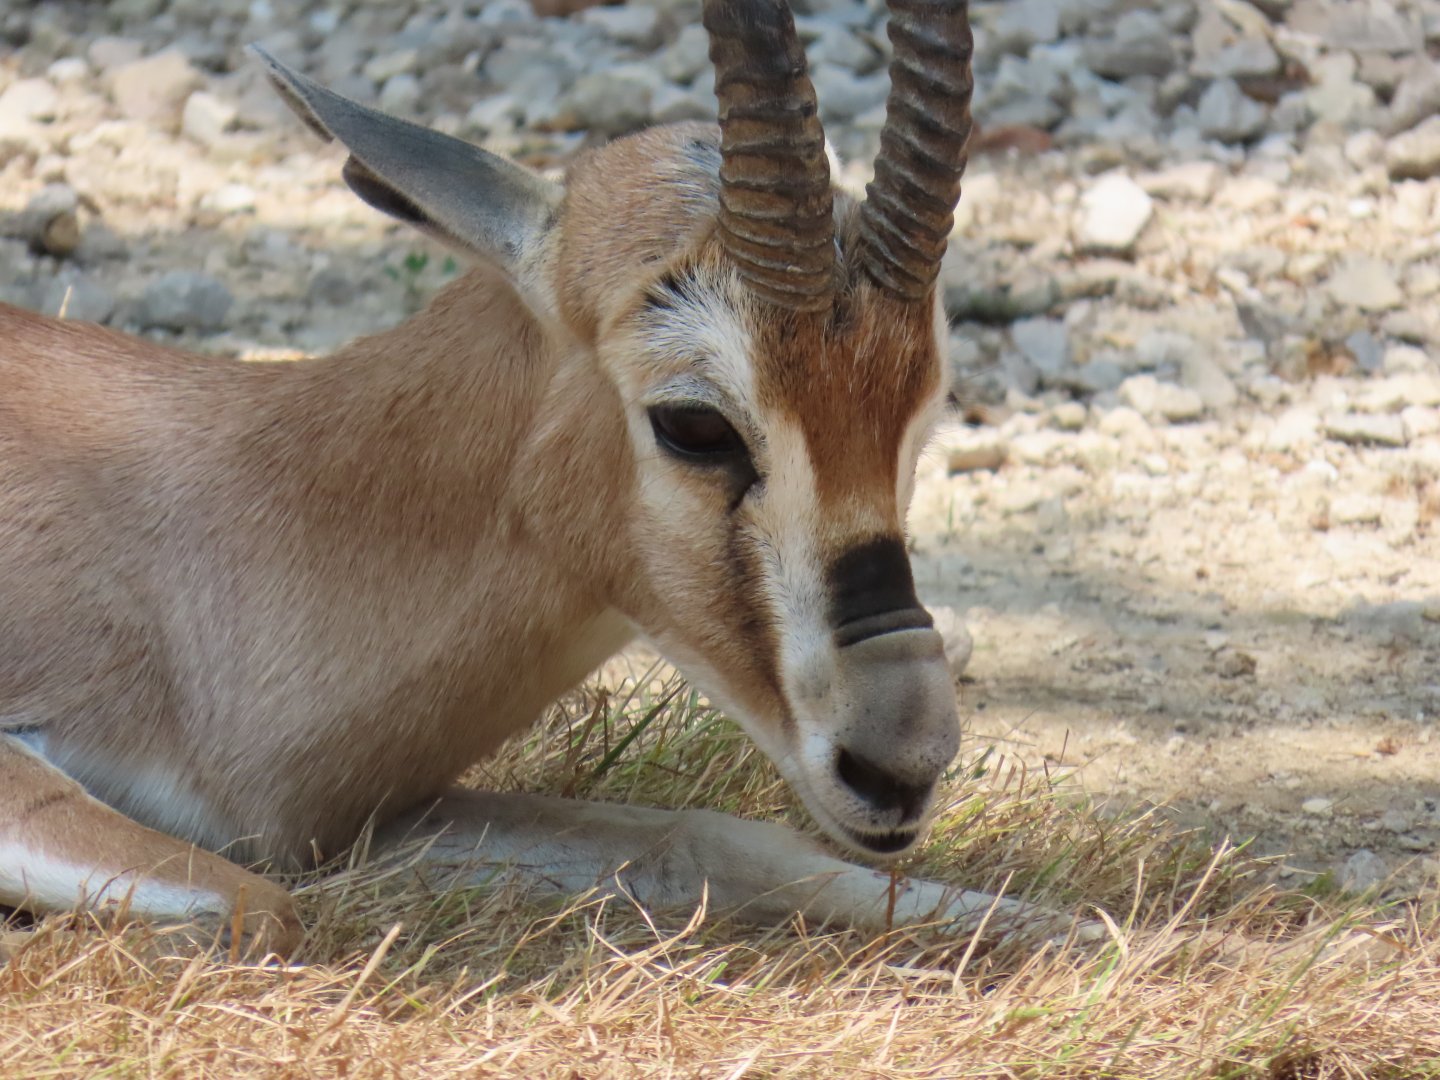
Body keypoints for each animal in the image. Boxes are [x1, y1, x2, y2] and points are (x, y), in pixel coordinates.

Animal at [0, 0, 1065, 956]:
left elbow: (708, 837)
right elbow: (254, 905)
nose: (900, 764)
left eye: (926, 407)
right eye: (692, 422)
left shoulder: (366, 827)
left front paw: (1068, 932)